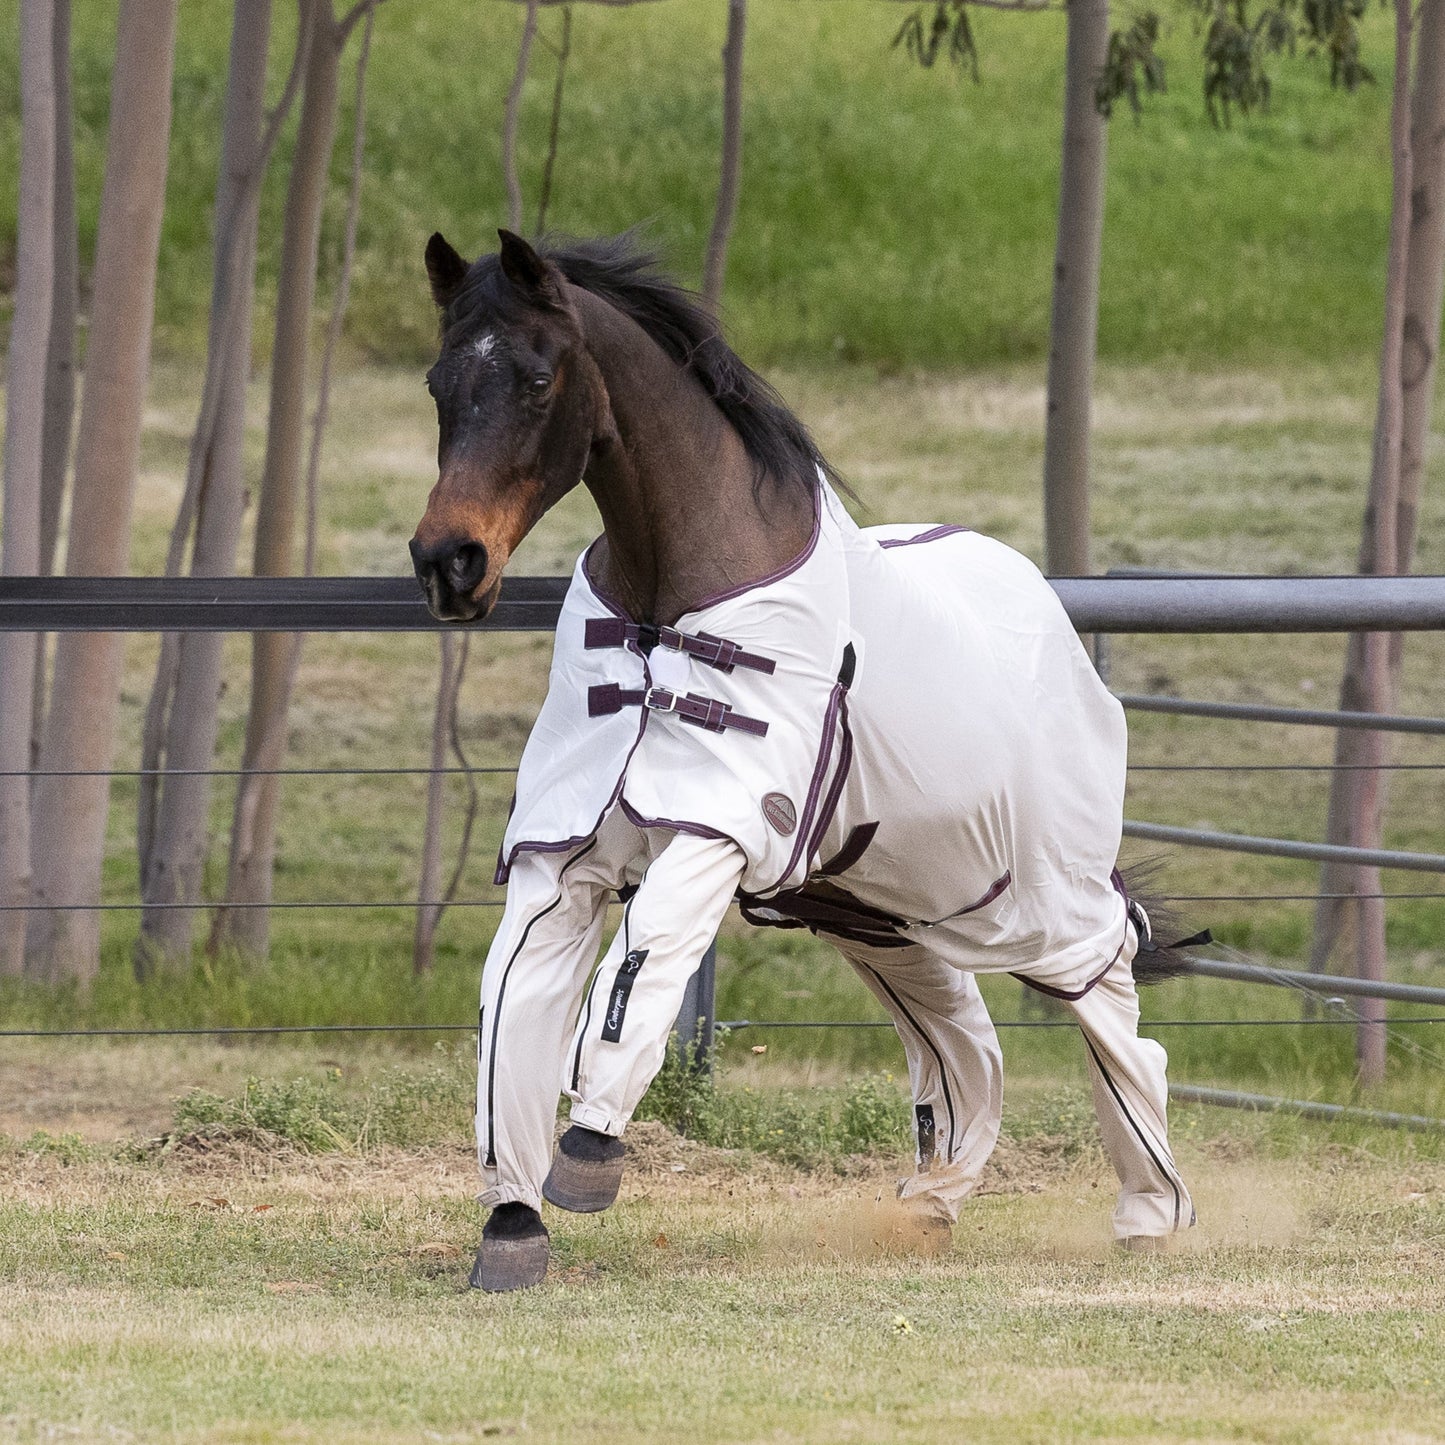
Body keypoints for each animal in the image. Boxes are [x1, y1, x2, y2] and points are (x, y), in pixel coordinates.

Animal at [411, 229, 1195, 1292]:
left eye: (536, 377)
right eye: (438, 381)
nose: (447, 562)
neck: (668, 601)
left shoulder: (719, 825)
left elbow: (645, 958)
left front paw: (588, 1155)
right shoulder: (562, 846)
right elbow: (516, 1003)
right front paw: (512, 1221)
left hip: (1026, 900)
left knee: (1106, 982)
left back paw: (1152, 1207)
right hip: (880, 909)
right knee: (959, 1037)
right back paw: (930, 1202)